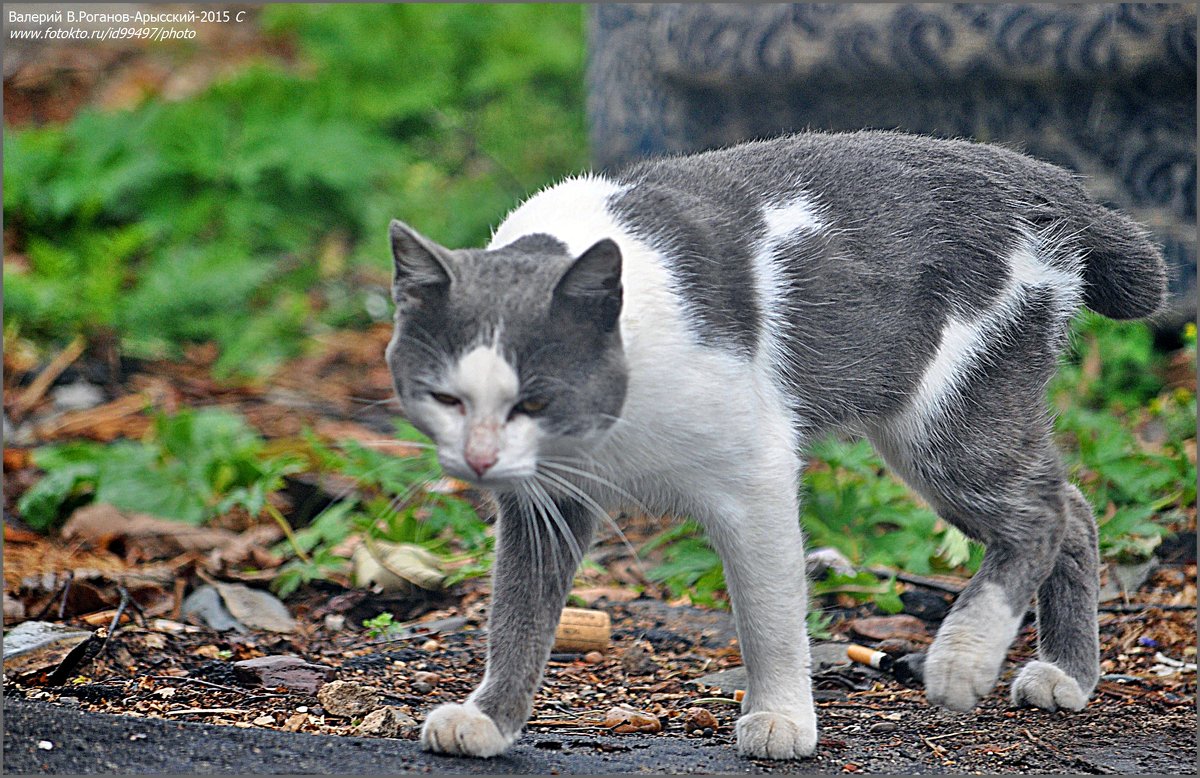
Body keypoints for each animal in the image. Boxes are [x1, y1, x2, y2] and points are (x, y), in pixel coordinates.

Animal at [381, 130, 1161, 758]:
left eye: (535, 400)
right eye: (445, 397)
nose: (480, 459)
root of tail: (1037, 174)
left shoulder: (754, 472)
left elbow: (770, 615)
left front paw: (783, 720)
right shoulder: (547, 501)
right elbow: (518, 614)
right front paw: (490, 720)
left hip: (947, 423)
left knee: (1043, 513)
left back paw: (963, 660)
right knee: (1076, 507)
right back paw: (1068, 676)